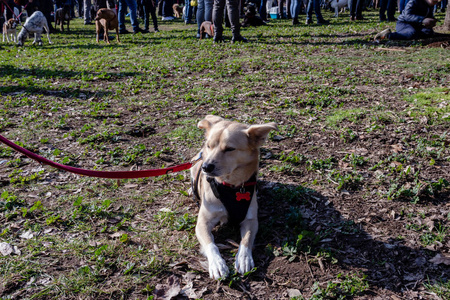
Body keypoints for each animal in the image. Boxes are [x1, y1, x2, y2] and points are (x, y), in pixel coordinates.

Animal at [191, 115, 278, 278]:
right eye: (209, 146)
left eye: (230, 149)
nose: (206, 167)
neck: (230, 186)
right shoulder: (202, 223)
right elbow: (211, 244)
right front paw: (217, 264)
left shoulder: (251, 220)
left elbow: (247, 239)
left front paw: (244, 258)